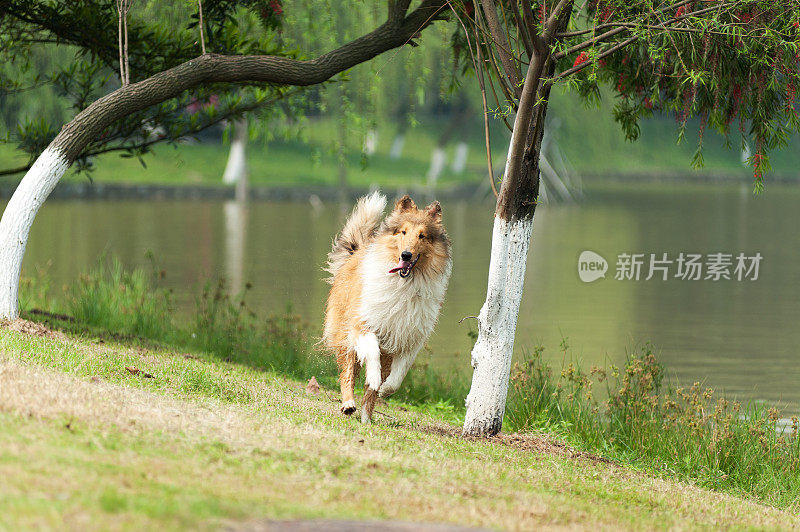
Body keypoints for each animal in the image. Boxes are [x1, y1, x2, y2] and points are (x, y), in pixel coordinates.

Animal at [324, 192, 450, 424]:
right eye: (403, 232)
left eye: (422, 236)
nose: (406, 255)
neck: (404, 283)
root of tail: (357, 251)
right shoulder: (363, 324)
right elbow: (372, 353)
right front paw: (373, 377)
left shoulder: (409, 339)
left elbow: (398, 377)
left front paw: (384, 389)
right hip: (345, 336)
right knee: (347, 374)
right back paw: (348, 404)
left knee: (368, 395)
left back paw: (366, 419)